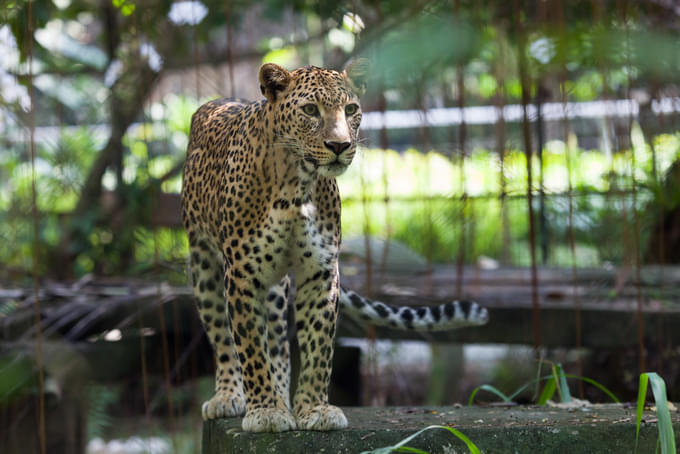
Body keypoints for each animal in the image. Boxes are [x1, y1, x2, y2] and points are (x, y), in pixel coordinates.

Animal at [181, 60, 488, 432]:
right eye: (310, 110)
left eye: (351, 109)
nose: (339, 145)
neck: (295, 187)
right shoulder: (242, 273)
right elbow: (250, 347)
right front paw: (265, 411)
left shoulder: (321, 271)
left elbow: (318, 347)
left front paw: (314, 409)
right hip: (204, 267)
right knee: (224, 339)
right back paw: (229, 397)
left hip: (275, 289)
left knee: (279, 343)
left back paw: (282, 397)